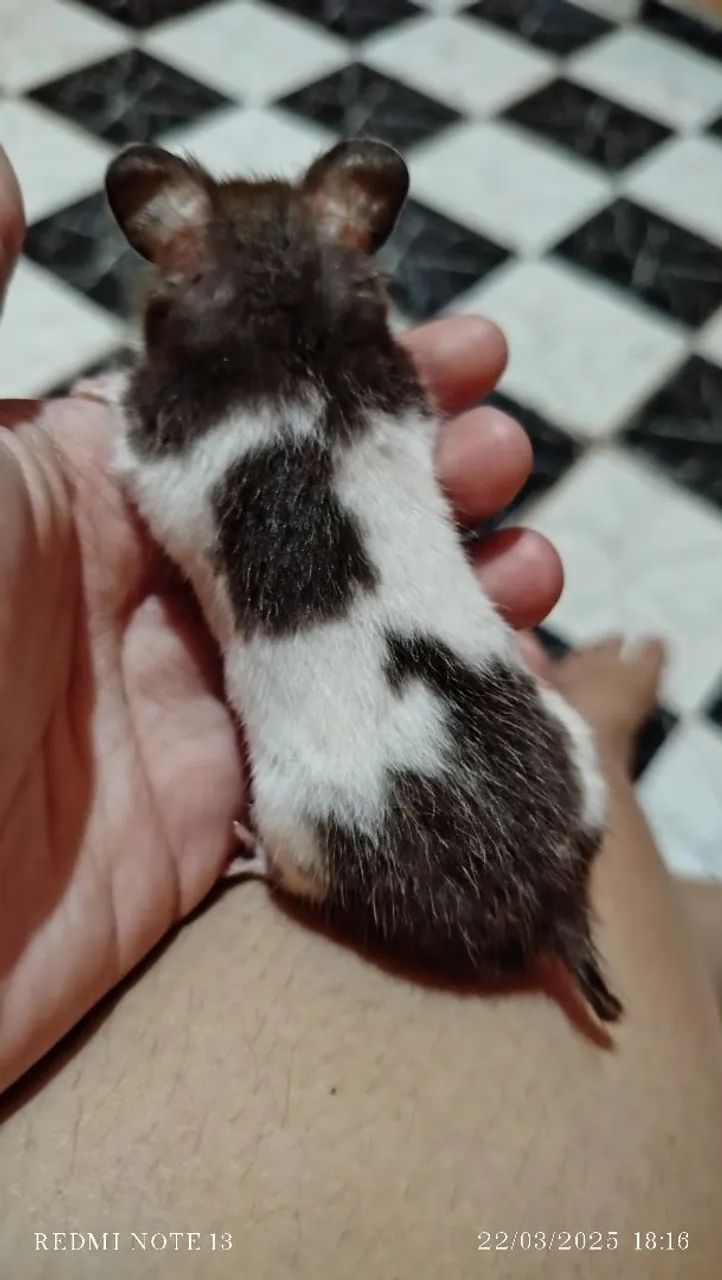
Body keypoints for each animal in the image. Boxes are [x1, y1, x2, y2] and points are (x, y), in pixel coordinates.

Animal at [104, 138, 621, 1023]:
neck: (285, 309)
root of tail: (552, 900)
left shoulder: (154, 448)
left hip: (300, 824)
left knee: (286, 871)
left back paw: (240, 850)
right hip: (579, 749)